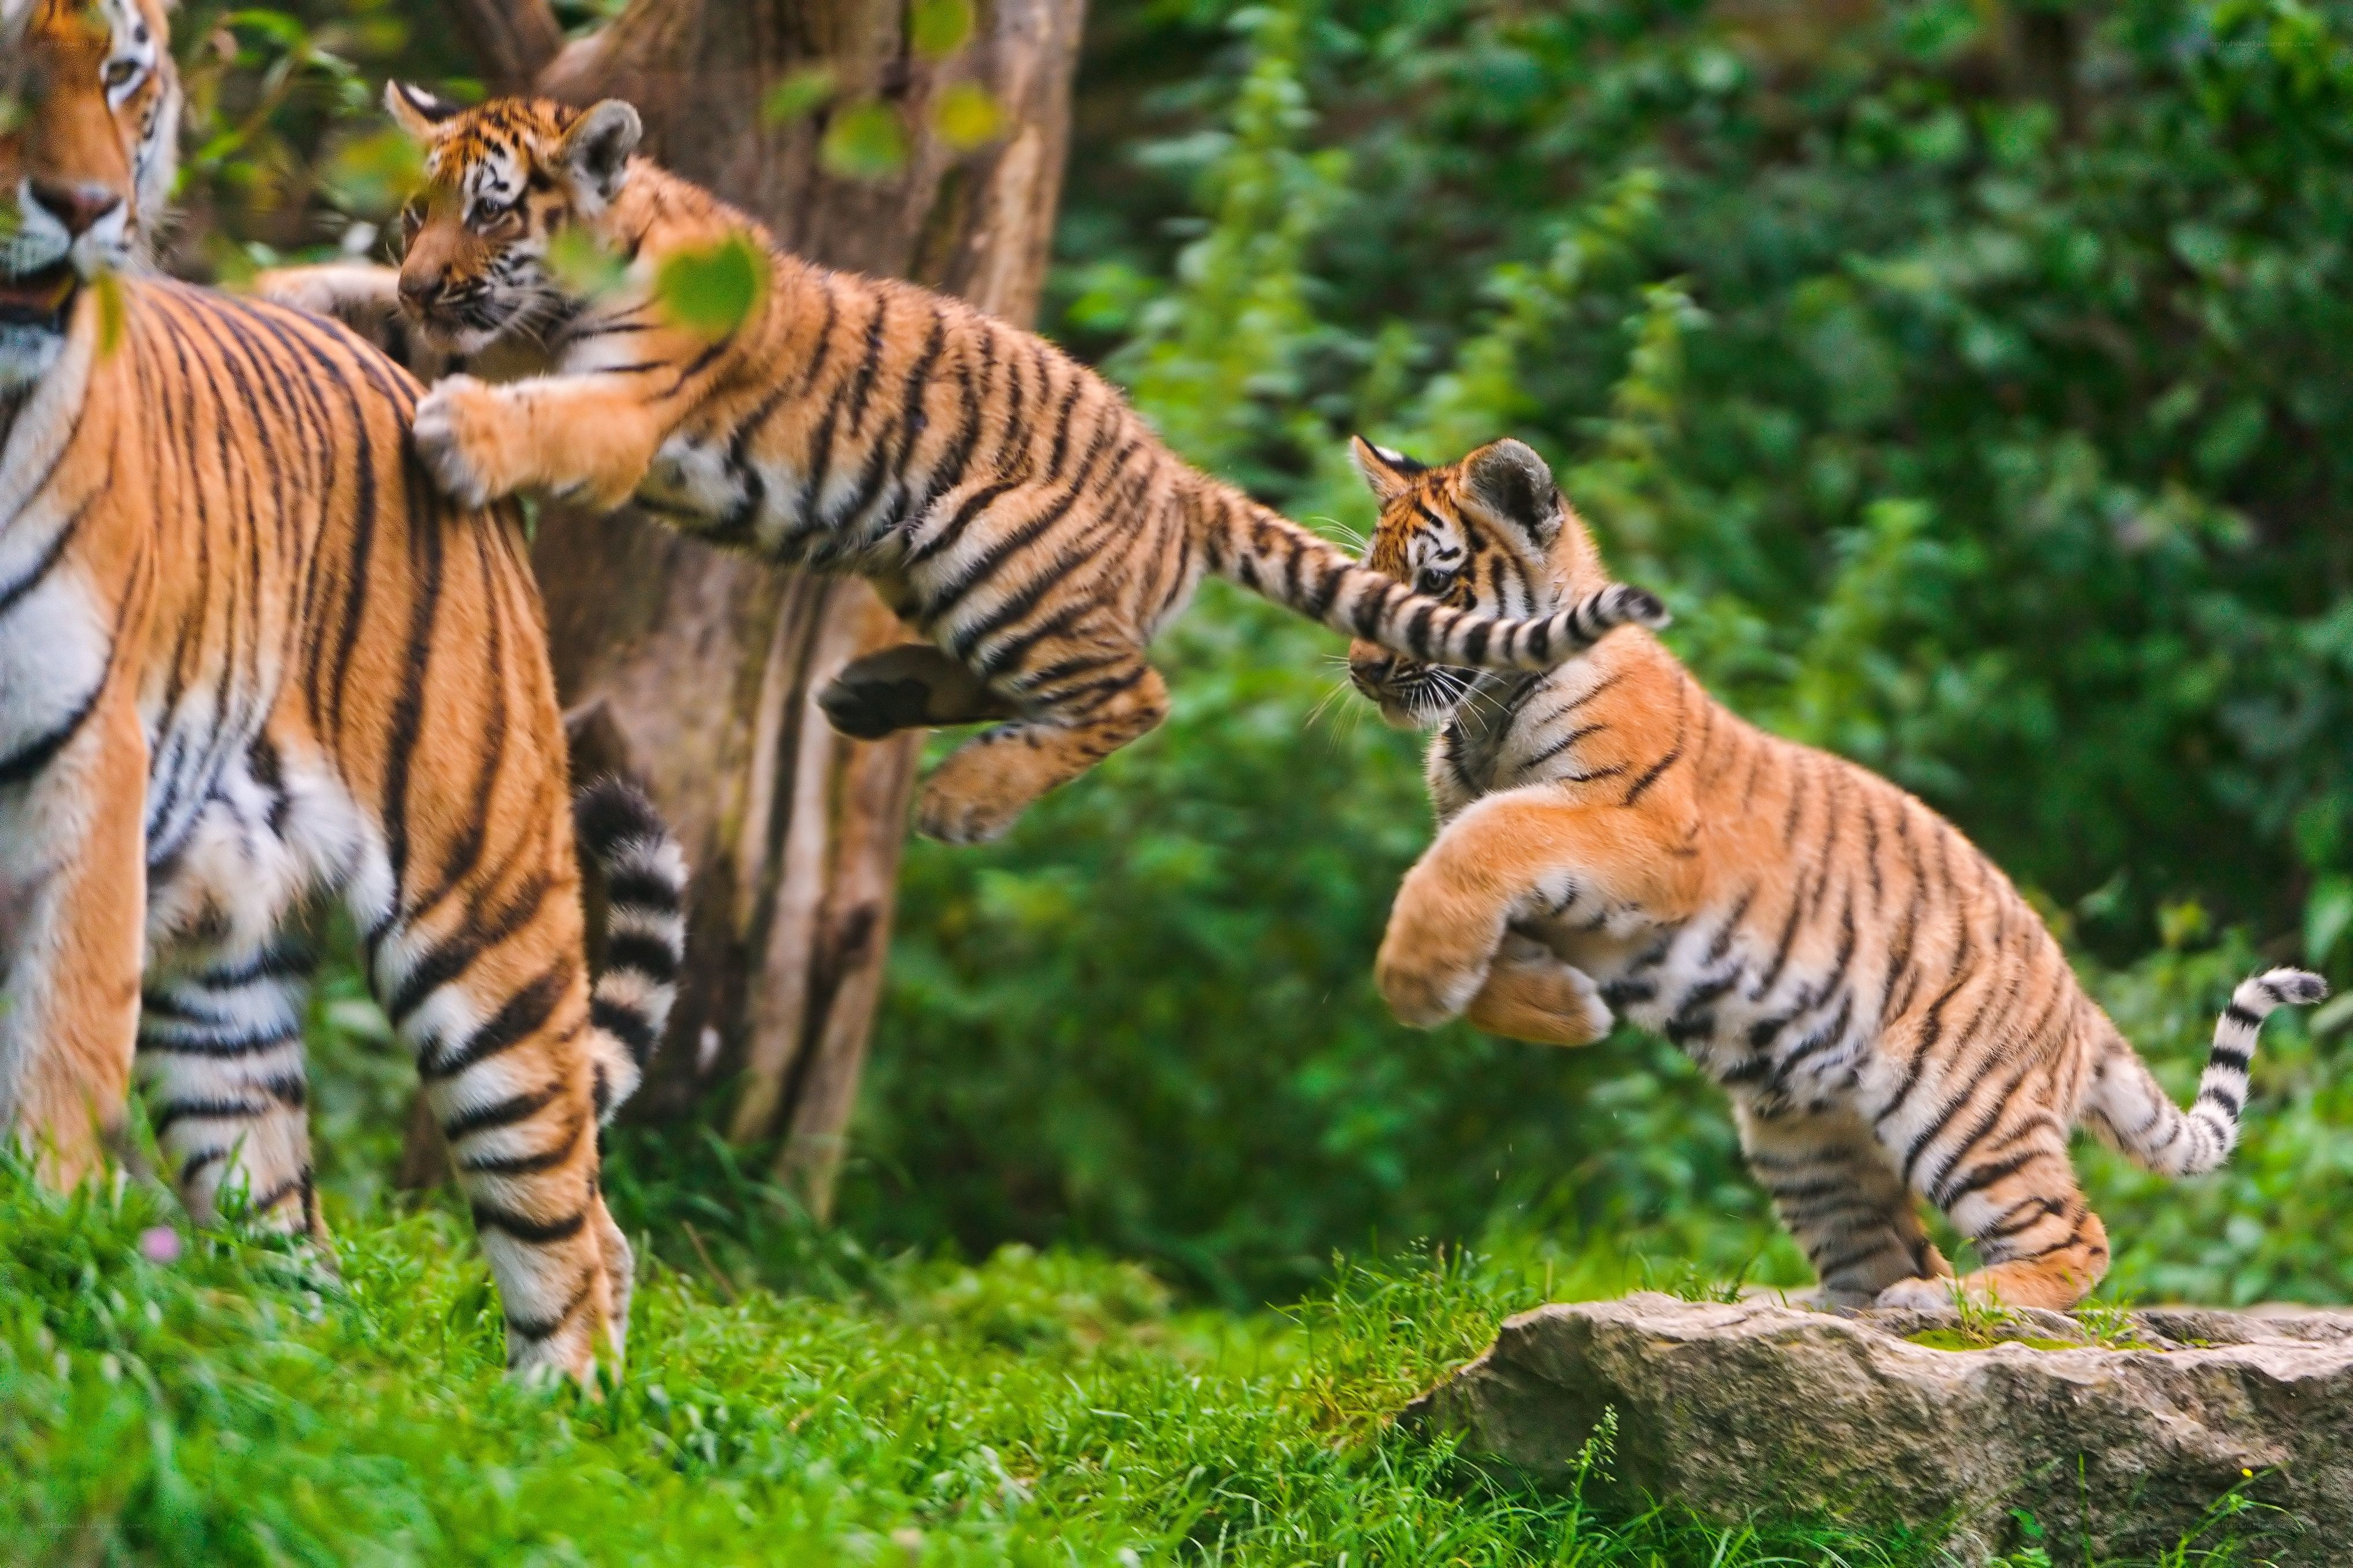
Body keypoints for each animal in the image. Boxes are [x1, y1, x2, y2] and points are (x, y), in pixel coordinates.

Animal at [0, 0, 687, 1384]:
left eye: (122, 69)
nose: (85, 207)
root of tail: (414, 377)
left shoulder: (79, 771)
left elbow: (52, 1074)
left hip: (480, 899)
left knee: (568, 1213)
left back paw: (556, 1417)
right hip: (220, 975)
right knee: (292, 1230)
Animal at [254, 86, 1669, 845]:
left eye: (492, 210)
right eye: (415, 213)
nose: (425, 282)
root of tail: (1174, 477)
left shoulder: (625, 408)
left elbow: (537, 416)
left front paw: (461, 431)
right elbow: (347, 302)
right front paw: (284, 289)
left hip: (986, 545)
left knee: (1129, 693)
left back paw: (964, 800)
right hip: (927, 565)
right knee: (1045, 679)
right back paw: (872, 693)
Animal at [1343, 434, 2326, 1312]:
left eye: (1433, 581)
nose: (1360, 670)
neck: (1480, 724)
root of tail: (2080, 1007)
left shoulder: (1643, 837)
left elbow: (1484, 837)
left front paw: (1420, 978)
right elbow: (1476, 909)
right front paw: (1553, 1005)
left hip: (1958, 1103)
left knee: (2071, 1237)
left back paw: (1954, 1304)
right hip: (1800, 1138)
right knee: (1891, 1249)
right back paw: (1819, 1308)